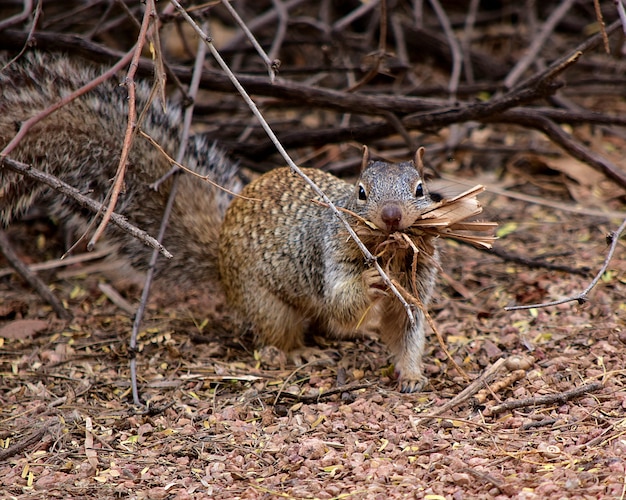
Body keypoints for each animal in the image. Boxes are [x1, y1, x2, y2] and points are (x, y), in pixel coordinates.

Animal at [1, 52, 438, 392]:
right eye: (361, 192)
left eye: (420, 189)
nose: (392, 216)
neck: (393, 254)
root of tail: (222, 259)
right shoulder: (330, 252)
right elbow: (341, 298)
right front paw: (370, 280)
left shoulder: (417, 285)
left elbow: (407, 329)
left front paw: (412, 374)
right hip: (266, 303)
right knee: (282, 332)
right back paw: (297, 352)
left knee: (329, 324)